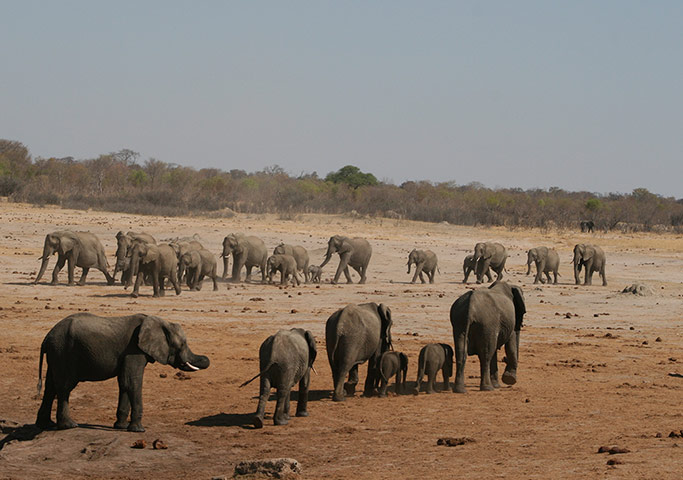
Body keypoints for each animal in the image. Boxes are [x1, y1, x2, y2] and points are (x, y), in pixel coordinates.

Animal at [35, 313, 209, 432]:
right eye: (182, 344)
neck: (158, 321)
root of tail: (46, 337)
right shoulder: (134, 350)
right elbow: (132, 382)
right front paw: (138, 430)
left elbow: (124, 383)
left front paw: (121, 426)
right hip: (63, 352)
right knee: (64, 387)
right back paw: (69, 426)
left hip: (56, 354)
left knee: (50, 386)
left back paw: (46, 425)